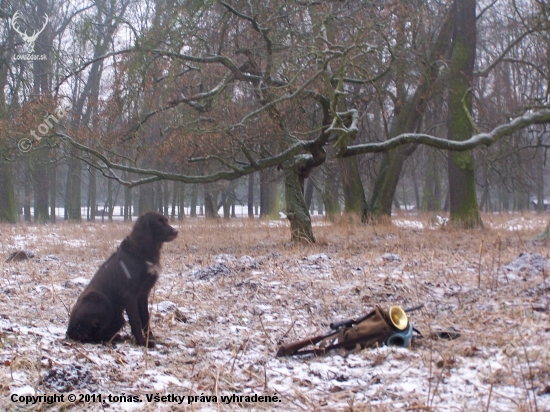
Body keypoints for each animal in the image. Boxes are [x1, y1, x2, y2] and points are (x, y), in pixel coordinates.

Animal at [66, 211, 179, 346]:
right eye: (159, 222)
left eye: (166, 220)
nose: (176, 231)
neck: (141, 252)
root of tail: (69, 331)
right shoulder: (129, 295)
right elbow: (136, 320)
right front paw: (142, 342)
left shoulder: (143, 294)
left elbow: (145, 318)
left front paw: (149, 337)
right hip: (98, 299)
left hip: (118, 317)